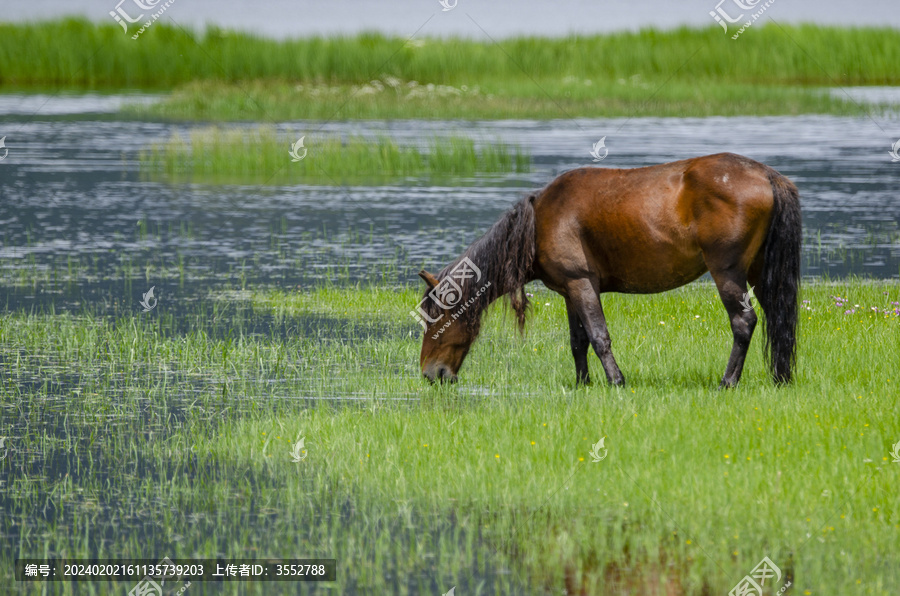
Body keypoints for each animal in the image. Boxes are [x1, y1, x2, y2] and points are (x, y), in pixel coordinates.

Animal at [414, 151, 800, 388]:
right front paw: (582, 384)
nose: (432, 374)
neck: (540, 222)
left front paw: (616, 381)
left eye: (434, 321)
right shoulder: (570, 291)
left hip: (728, 272)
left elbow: (599, 337)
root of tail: (767, 175)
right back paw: (780, 377)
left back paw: (727, 382)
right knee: (777, 318)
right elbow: (578, 341)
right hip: (759, 274)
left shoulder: (582, 284)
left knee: (743, 322)